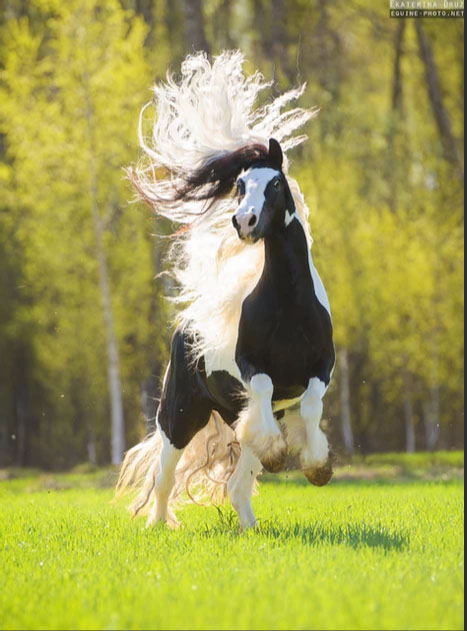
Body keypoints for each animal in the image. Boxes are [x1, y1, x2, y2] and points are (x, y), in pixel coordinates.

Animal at [117, 51, 336, 532]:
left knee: (237, 482)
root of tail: (185, 327)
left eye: (275, 184)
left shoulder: (322, 369)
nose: (245, 222)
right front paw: (283, 453)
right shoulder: (251, 368)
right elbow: (263, 387)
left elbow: (311, 407)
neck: (289, 305)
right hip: (179, 415)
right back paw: (157, 526)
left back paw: (250, 526)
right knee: (164, 475)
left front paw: (316, 465)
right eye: (239, 185)